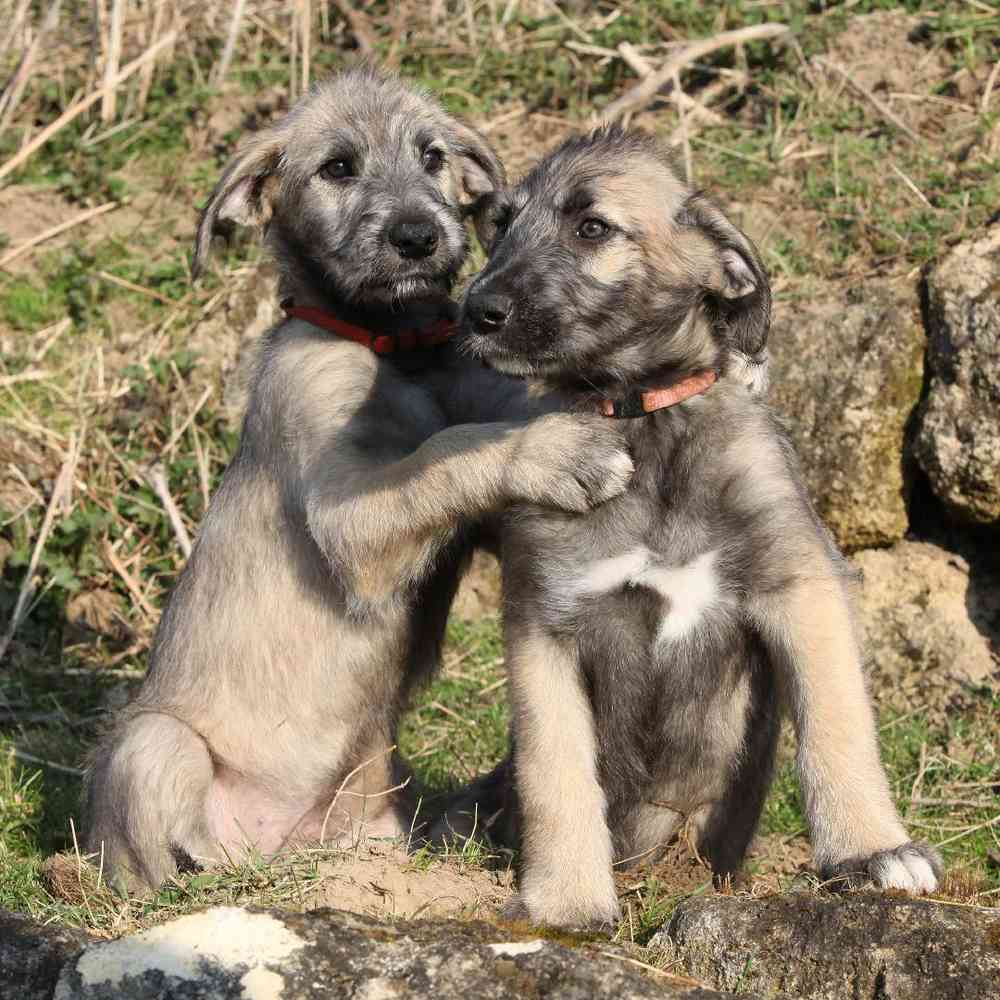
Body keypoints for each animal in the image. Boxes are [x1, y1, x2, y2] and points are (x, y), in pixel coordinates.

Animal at [86, 68, 632, 892]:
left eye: (433, 156)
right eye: (338, 168)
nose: (418, 237)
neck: (396, 345)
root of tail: (288, 843)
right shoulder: (345, 515)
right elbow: (452, 449)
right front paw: (560, 450)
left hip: (378, 785)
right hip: (154, 747)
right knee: (160, 856)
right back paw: (215, 871)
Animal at [460, 127, 944, 928]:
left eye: (592, 227)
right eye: (500, 226)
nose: (477, 312)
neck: (646, 421)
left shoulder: (801, 585)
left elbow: (837, 725)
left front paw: (872, 850)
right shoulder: (542, 623)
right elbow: (556, 771)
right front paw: (566, 898)